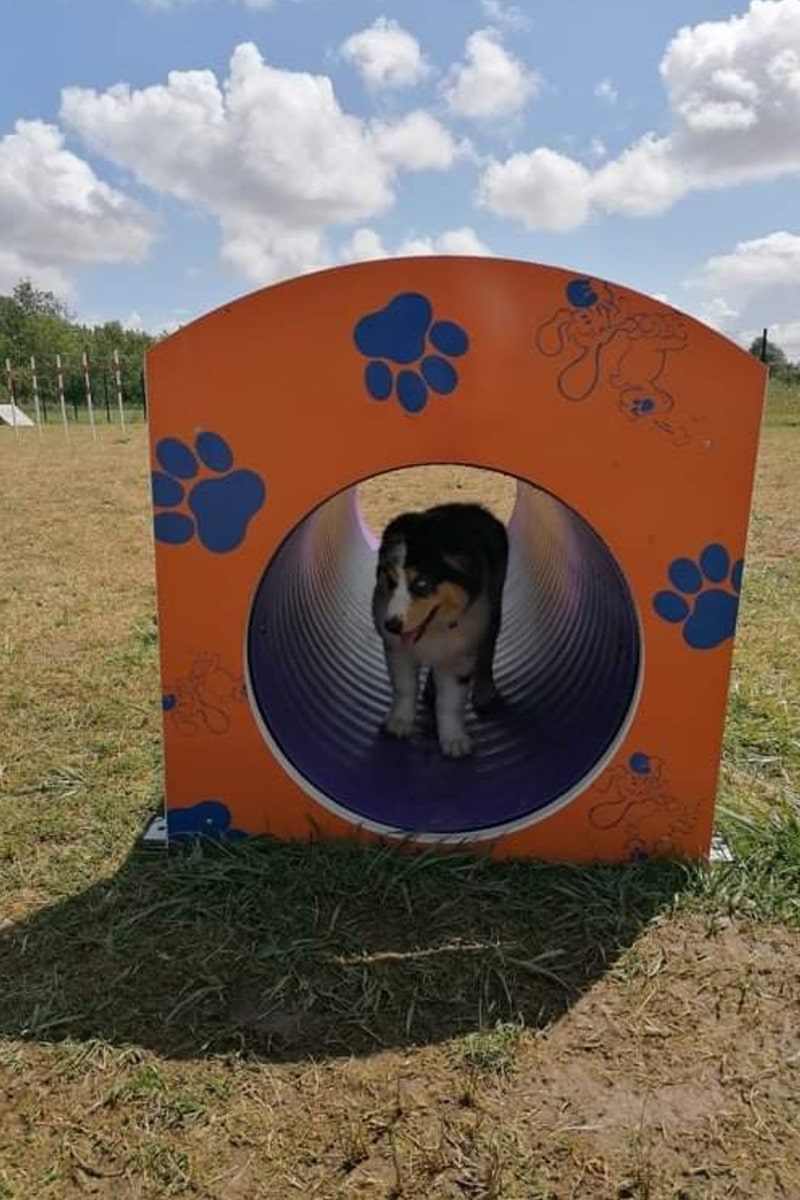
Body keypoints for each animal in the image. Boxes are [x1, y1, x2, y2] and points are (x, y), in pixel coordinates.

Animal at [374, 504, 510, 758]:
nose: (391, 626)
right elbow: (404, 686)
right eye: (390, 580)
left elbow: (451, 702)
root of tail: (474, 507)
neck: (434, 629)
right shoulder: (397, 649)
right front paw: (399, 722)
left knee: (488, 648)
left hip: (495, 601)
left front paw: (454, 740)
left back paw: (484, 690)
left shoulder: (461, 653)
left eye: (421, 584)